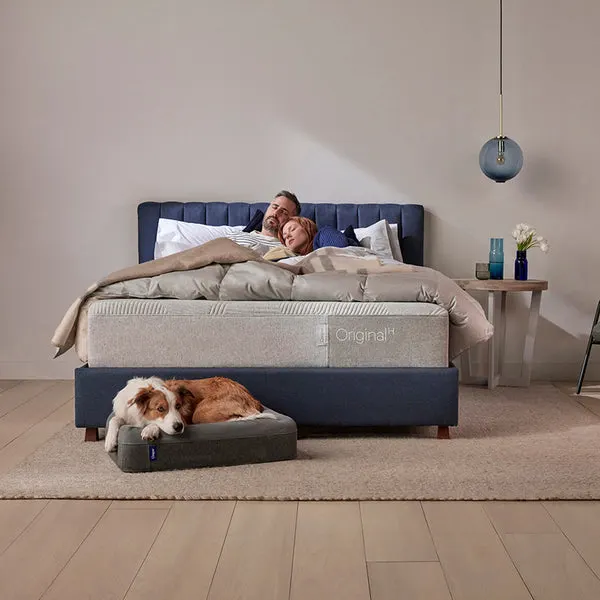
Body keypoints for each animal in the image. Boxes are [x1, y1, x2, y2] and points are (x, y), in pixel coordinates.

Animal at [104, 372, 270, 452]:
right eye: (160, 409)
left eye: (178, 406)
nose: (179, 427)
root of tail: (252, 398)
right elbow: (114, 419)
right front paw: (110, 441)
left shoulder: (183, 419)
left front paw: (150, 430)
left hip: (199, 414)